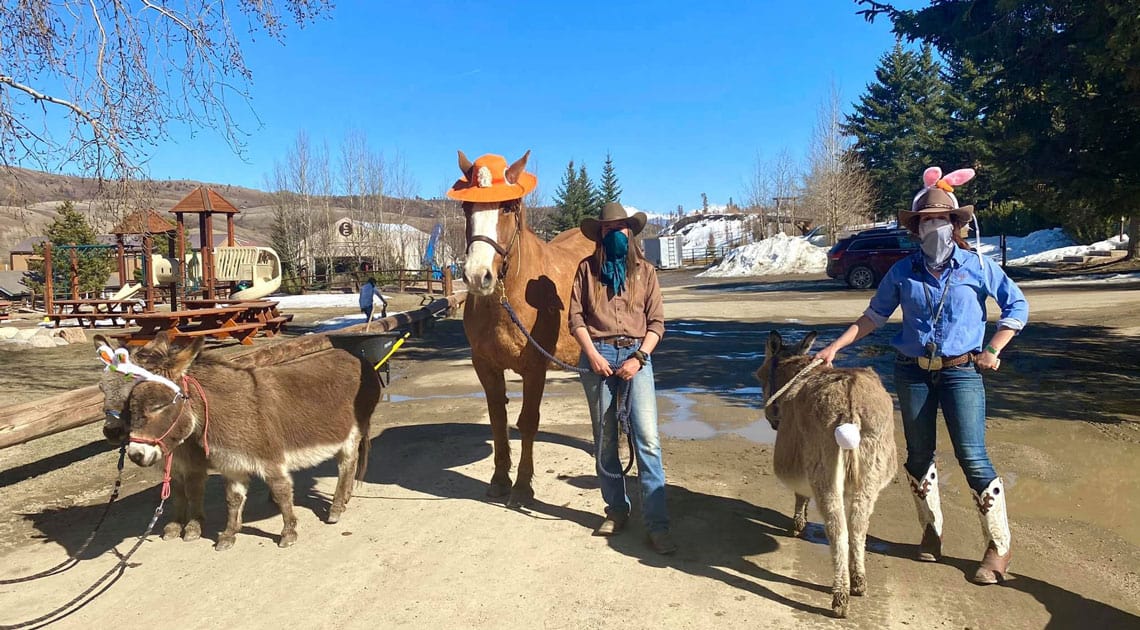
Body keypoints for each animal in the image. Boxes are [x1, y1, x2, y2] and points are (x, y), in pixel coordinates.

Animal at [103, 332, 378, 546]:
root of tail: (357, 357)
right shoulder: (231, 464)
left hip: (353, 432)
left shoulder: (271, 461)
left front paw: (288, 533)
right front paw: (228, 535)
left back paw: (336, 508)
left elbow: (281, 492)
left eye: (158, 406)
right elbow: (233, 499)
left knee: (346, 465)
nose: (135, 455)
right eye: (131, 405)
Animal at [451, 148, 597, 505]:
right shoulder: (485, 366)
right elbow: (498, 420)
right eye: (466, 208)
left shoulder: (535, 368)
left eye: (507, 207)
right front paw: (499, 480)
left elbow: (528, 422)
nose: (478, 276)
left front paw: (521, 487)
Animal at [756, 332, 898, 615]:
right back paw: (858, 581)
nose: (772, 420)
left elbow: (800, 495)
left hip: (824, 468)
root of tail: (849, 400)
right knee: (858, 525)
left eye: (761, 377)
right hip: (869, 470)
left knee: (837, 527)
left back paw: (840, 596)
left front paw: (798, 524)